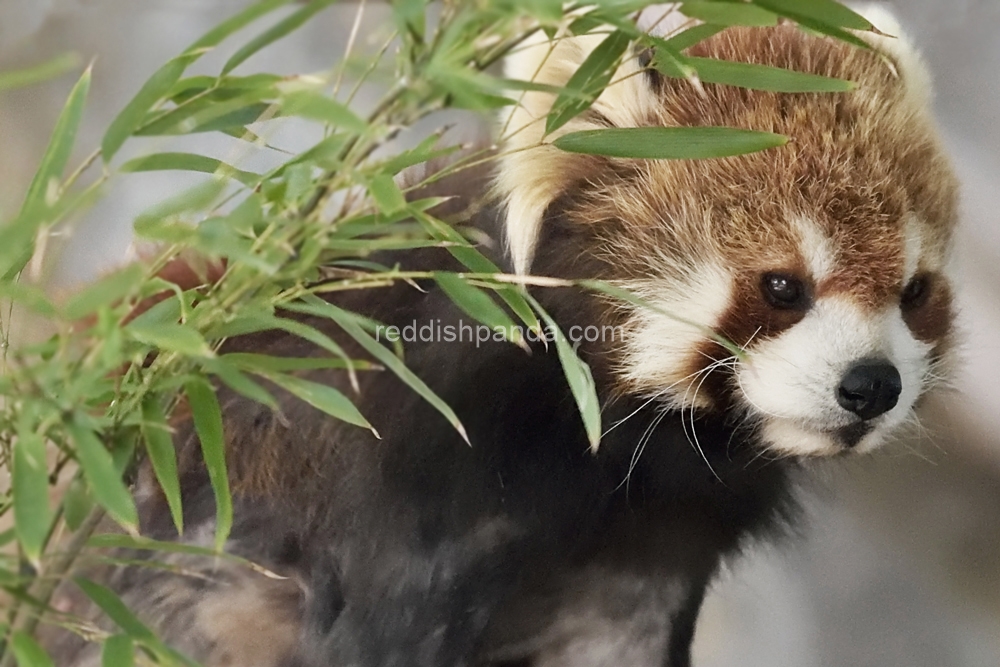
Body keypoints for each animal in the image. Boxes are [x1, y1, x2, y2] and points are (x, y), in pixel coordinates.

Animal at [50, 5, 956, 667]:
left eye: (914, 292)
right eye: (782, 286)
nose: (871, 384)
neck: (595, 448)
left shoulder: (649, 550)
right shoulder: (394, 471)